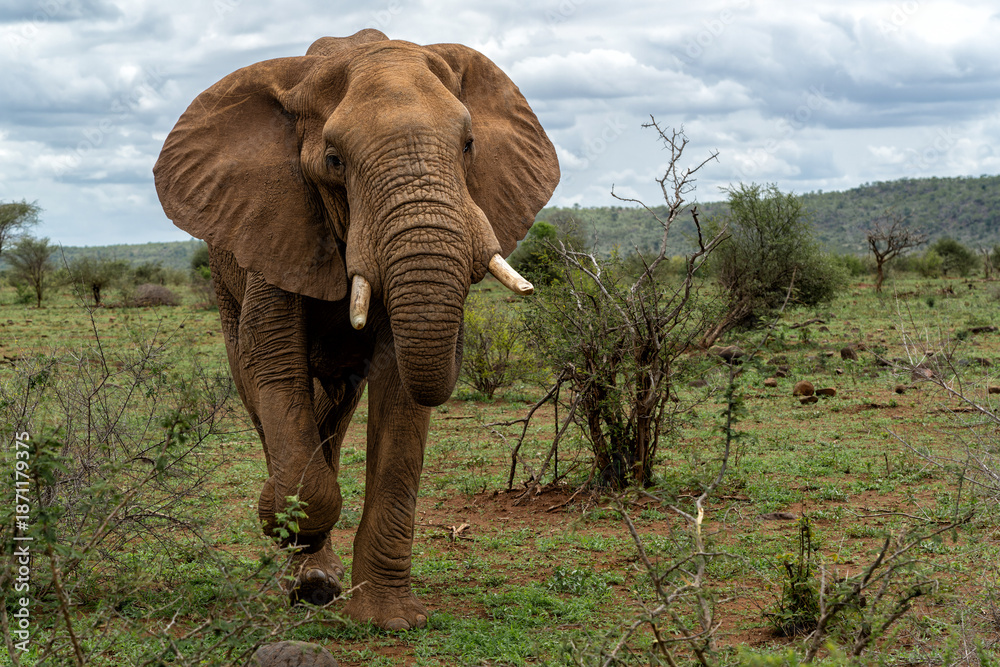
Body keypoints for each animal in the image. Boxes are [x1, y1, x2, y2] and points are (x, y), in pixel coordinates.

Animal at [153, 29, 559, 630]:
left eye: (468, 145)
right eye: (334, 160)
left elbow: (399, 389)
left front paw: (388, 619)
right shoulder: (276, 221)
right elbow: (272, 363)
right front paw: (289, 531)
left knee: (336, 408)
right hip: (226, 274)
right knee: (260, 390)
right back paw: (312, 572)